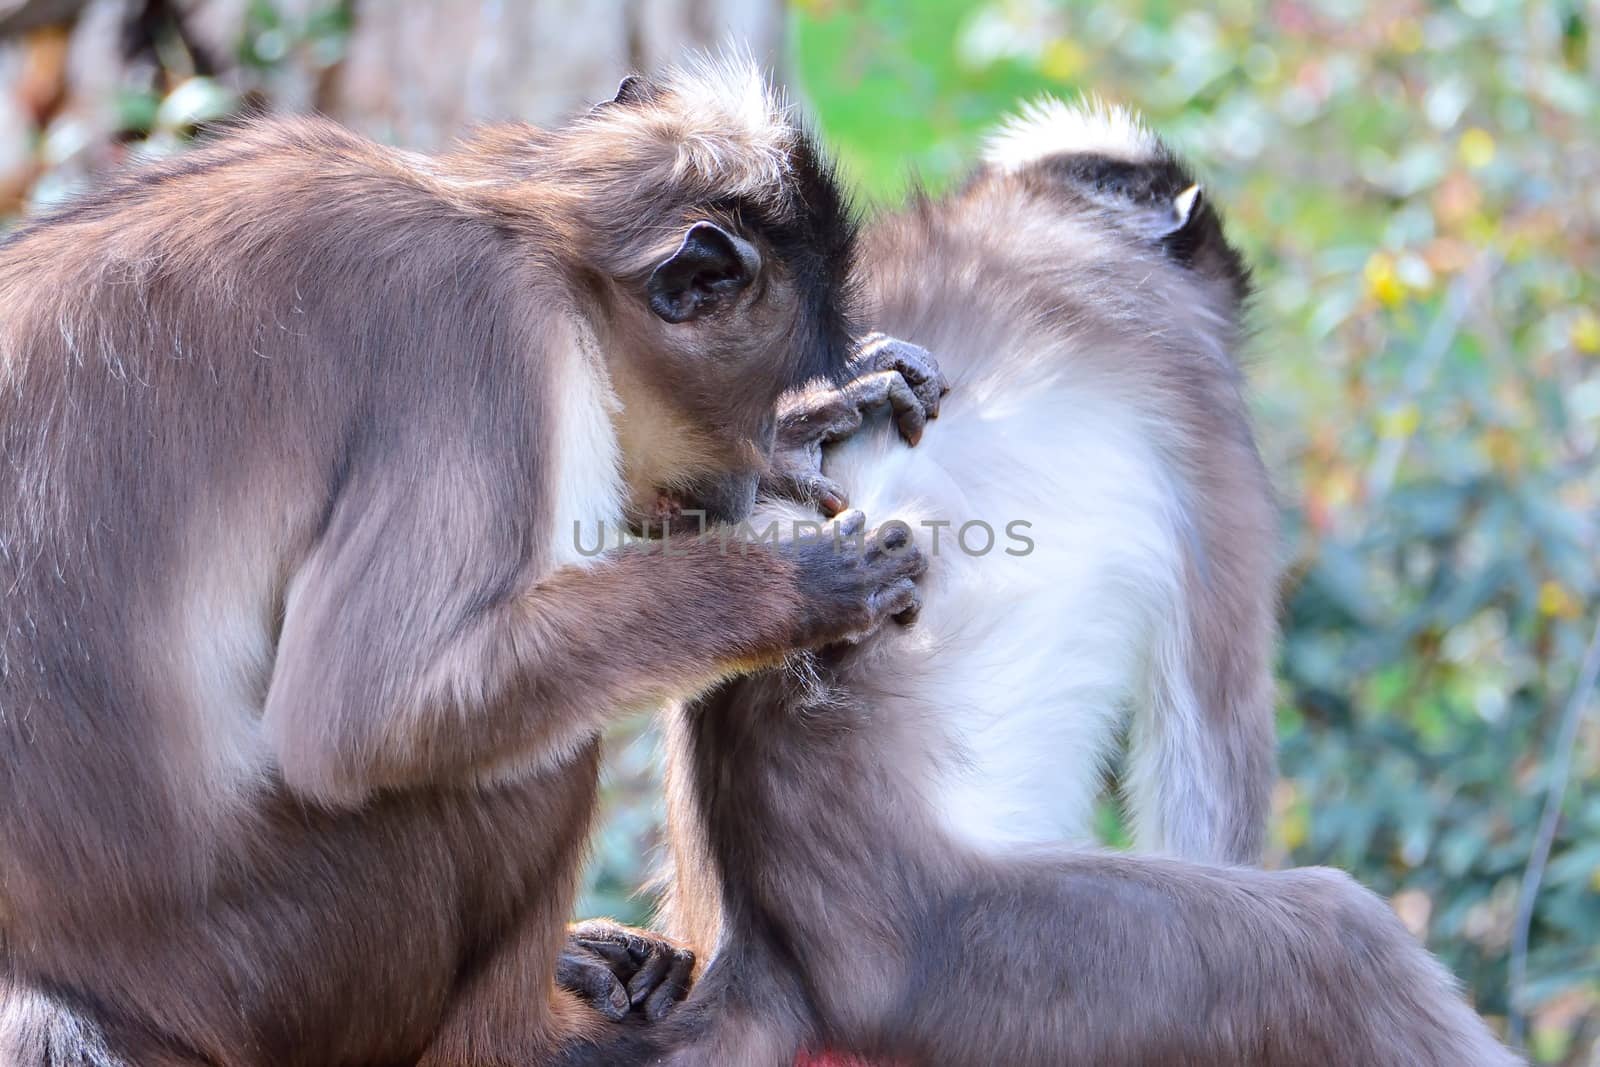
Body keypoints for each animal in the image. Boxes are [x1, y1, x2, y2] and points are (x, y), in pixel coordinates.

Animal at [0, 60, 934, 1067]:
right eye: (753, 409)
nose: (739, 483)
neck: (515, 220)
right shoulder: (489, 332)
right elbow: (368, 714)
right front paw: (804, 581)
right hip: (287, 958)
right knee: (529, 750)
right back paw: (535, 1034)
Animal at [614, 102, 1523, 1067]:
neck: (1050, 213)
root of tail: (767, 948)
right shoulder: (1196, 390)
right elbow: (1212, 740)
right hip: (976, 957)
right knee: (1339, 940)